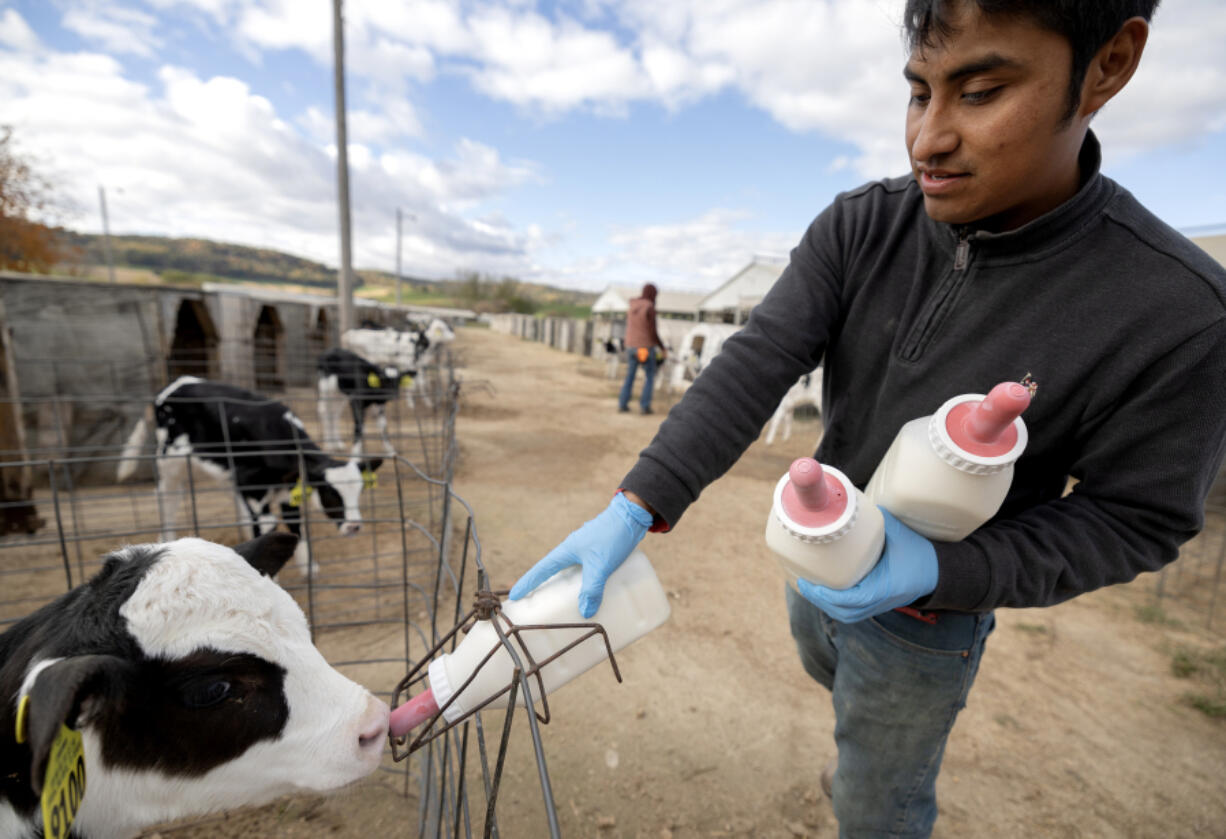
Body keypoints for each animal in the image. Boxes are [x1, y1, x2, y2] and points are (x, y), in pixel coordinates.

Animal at [118, 377, 382, 569]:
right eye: (329, 493)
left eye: (359, 492)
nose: (354, 526)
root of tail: (172, 385)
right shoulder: (253, 487)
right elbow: (266, 528)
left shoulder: (286, 489)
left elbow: (295, 523)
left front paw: (309, 568)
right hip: (170, 460)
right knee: (168, 499)